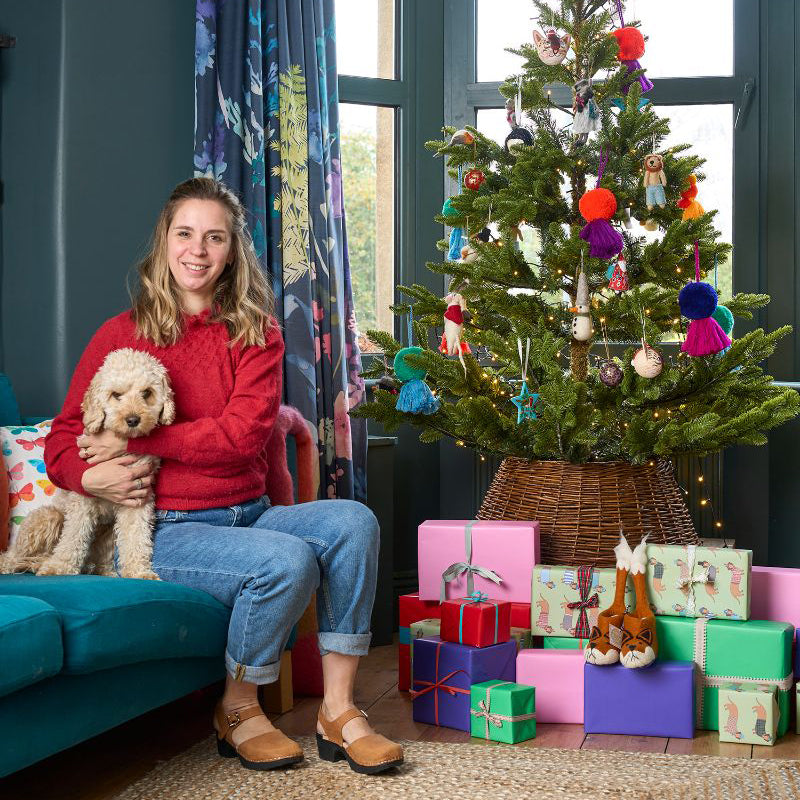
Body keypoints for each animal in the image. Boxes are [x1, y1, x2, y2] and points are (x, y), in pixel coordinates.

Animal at [0, 346, 175, 580]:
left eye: (146, 393)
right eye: (116, 395)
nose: (132, 420)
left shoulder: (138, 500)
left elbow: (137, 538)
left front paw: (138, 571)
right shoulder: (84, 496)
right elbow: (73, 536)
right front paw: (60, 568)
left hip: (107, 534)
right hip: (48, 517)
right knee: (15, 553)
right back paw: (19, 564)